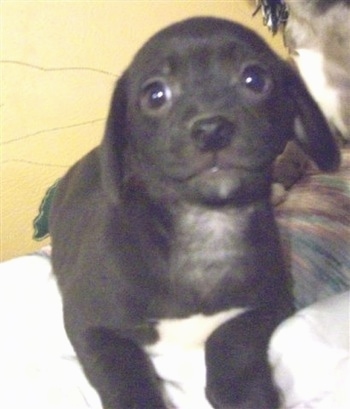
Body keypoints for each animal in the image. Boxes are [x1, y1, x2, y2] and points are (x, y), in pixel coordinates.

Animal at [49, 17, 340, 408]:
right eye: (155, 95)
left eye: (255, 79)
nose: (211, 129)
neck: (208, 226)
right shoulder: (88, 323)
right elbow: (122, 373)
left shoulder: (271, 304)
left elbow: (232, 339)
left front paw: (243, 392)